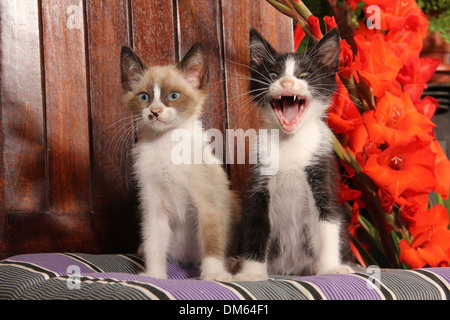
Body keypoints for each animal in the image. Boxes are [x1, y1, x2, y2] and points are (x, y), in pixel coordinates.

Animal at [234, 29, 354, 280]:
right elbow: (256, 224)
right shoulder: (260, 180)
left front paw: (331, 268)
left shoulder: (322, 171)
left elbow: (328, 219)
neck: (290, 143)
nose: (287, 82)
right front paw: (251, 272)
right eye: (272, 74)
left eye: (305, 74)